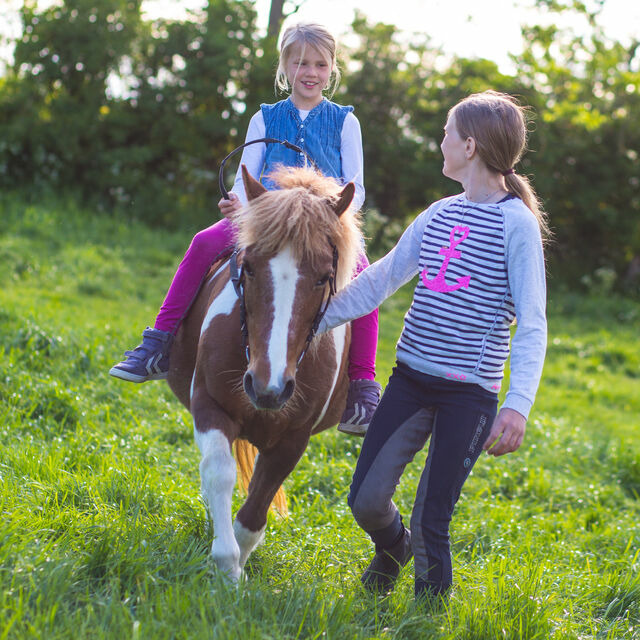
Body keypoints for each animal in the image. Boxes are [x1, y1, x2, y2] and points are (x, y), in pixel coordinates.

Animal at [168, 164, 362, 580]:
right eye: (249, 267)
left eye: (323, 276)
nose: (266, 387)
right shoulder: (209, 405)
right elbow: (219, 473)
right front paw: (226, 567)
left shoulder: (293, 439)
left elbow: (256, 509)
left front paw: (236, 571)